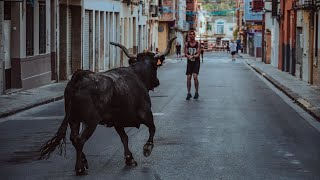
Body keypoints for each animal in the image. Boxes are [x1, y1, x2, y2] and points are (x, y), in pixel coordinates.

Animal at [38, 37, 176, 176]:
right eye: (155, 66)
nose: (157, 82)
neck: (138, 75)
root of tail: (80, 76)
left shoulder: (118, 121)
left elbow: (124, 138)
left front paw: (129, 158)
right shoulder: (146, 113)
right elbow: (152, 128)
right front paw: (147, 148)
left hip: (74, 119)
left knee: (74, 138)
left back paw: (83, 161)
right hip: (91, 122)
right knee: (80, 140)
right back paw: (80, 168)